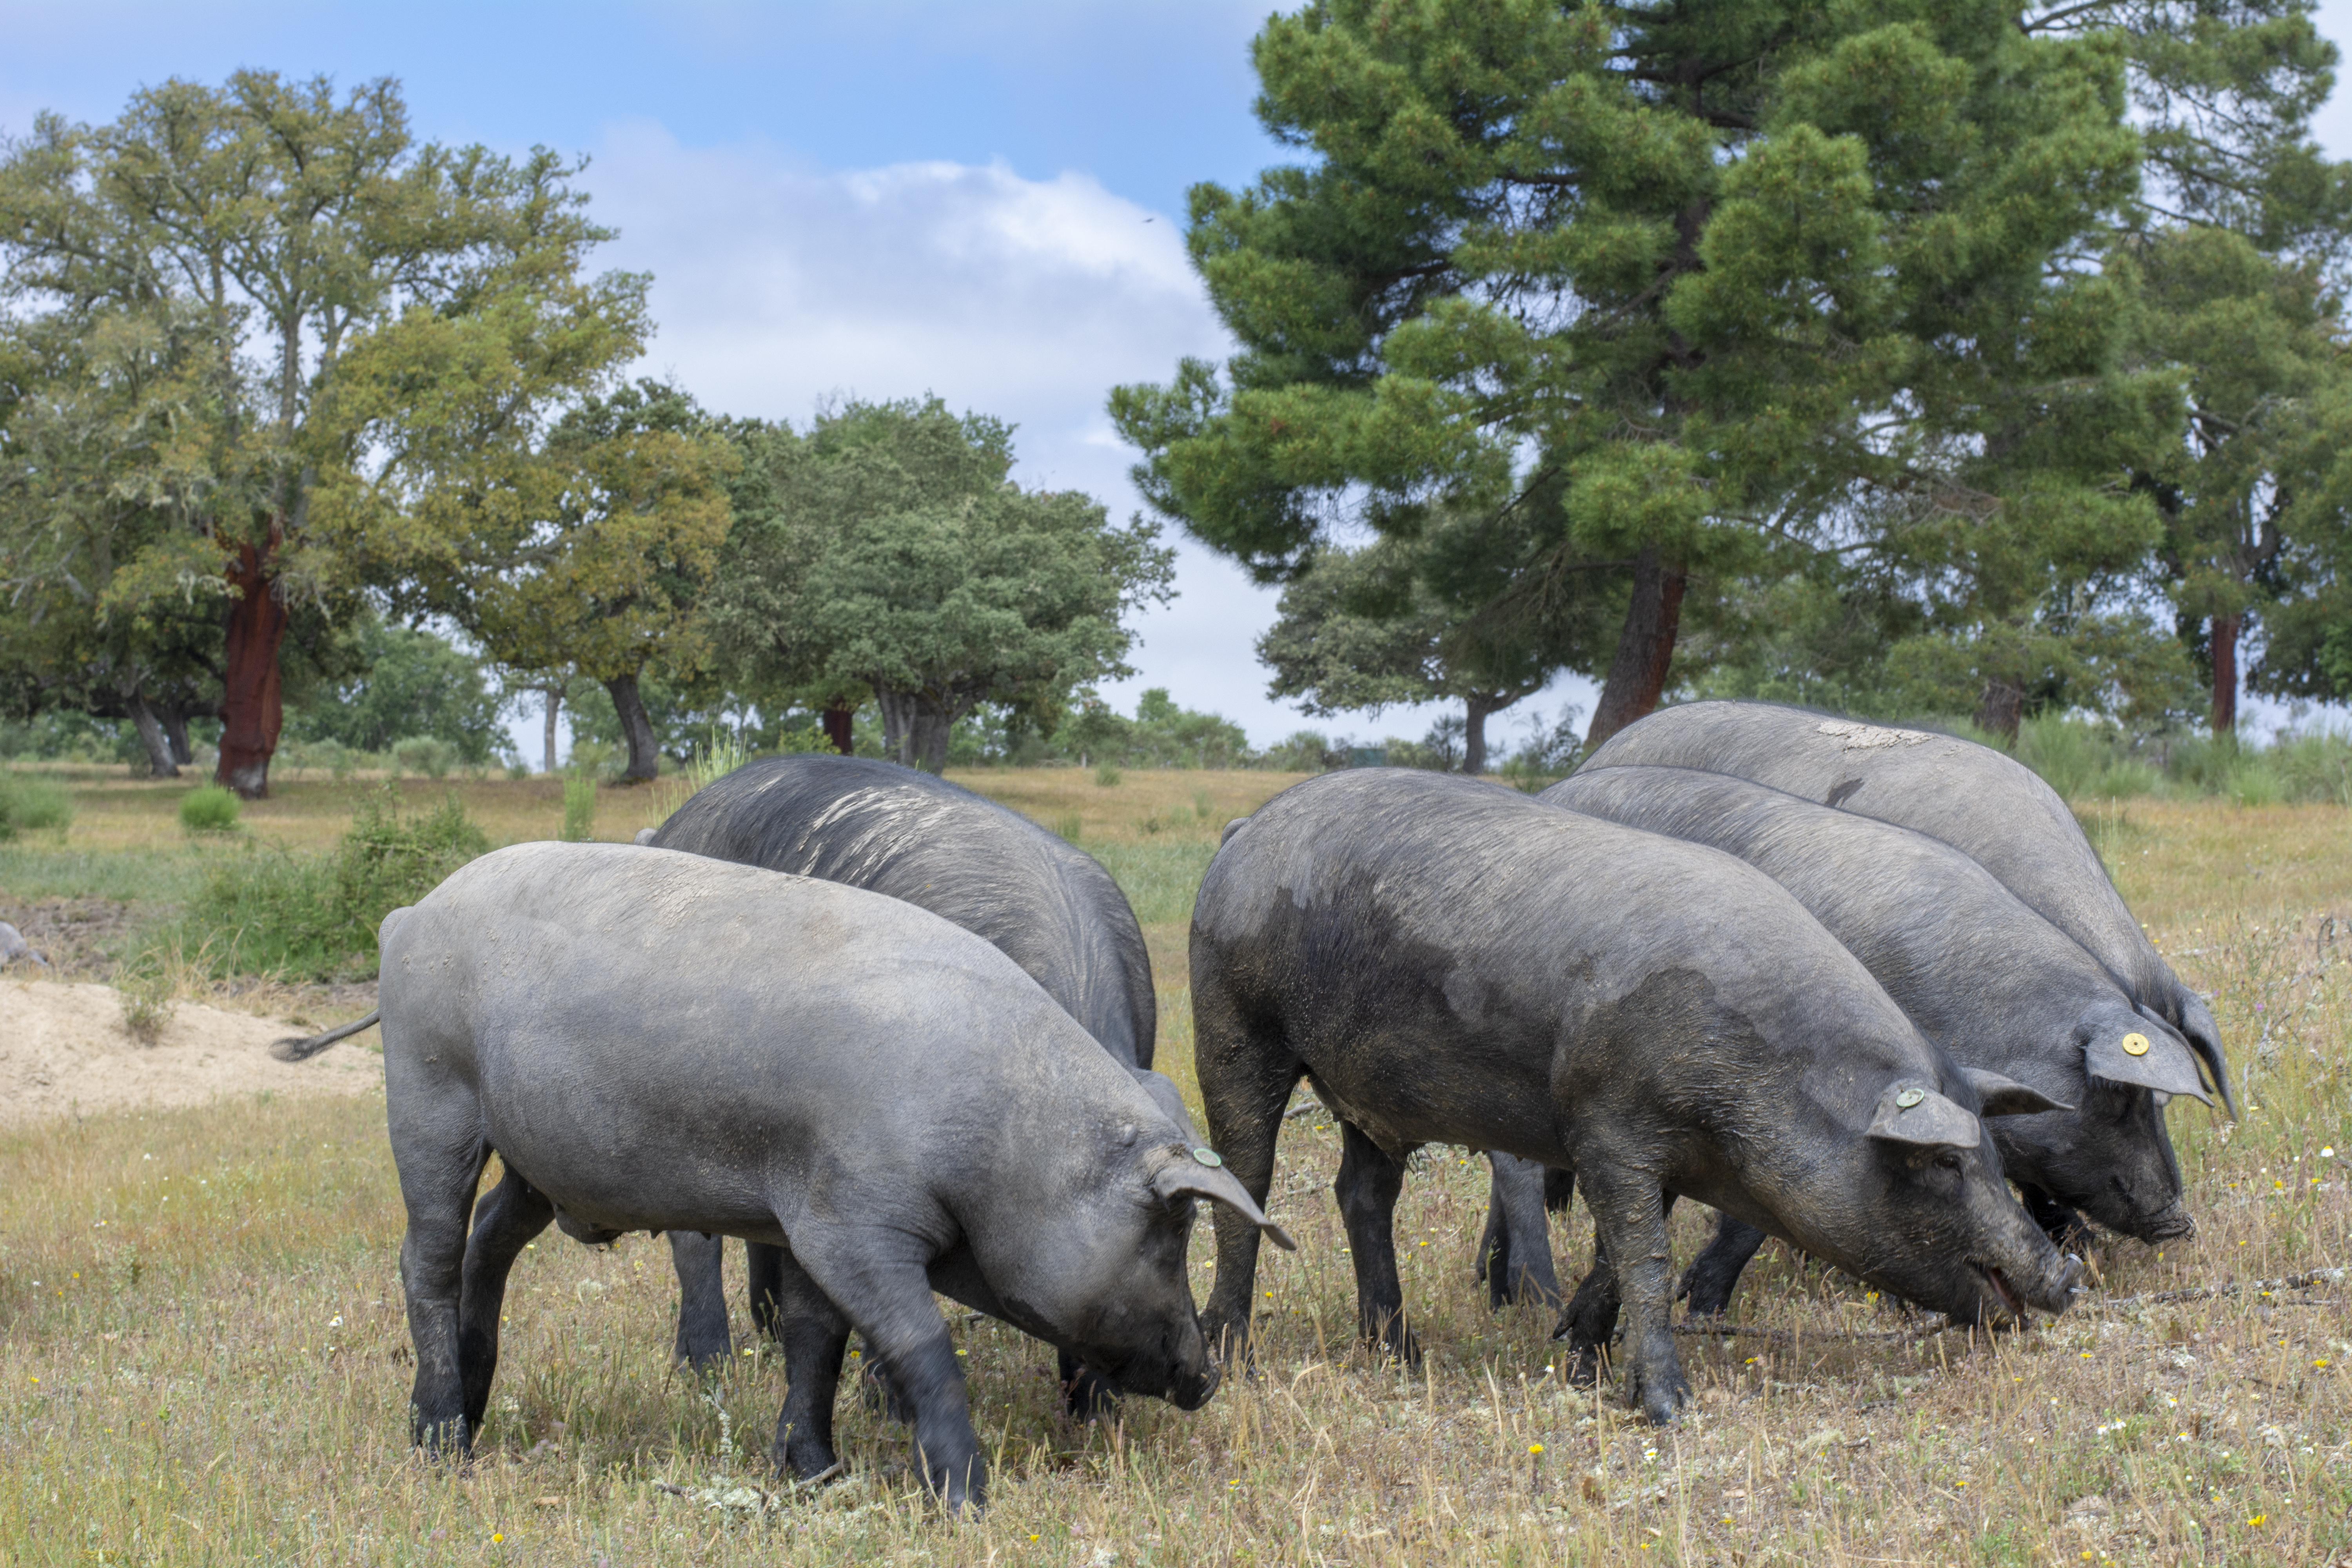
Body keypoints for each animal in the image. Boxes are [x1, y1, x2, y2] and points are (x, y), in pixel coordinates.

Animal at [381, 842, 1289, 1511]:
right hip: (430, 1096)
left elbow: (815, 1340)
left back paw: (474, 1407)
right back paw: (441, 1442)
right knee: (427, 1256)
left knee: (490, 1242)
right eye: (1171, 1231)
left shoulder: (803, 1218)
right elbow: (919, 1342)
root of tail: (409, 913)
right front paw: (968, 1503)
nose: (1208, 1375)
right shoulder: (850, 1219)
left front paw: (815, 1473)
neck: (1001, 1139)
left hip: (536, 1160)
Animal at [645, 755, 1160, 1409]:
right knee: (692, 1239)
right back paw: (707, 1367)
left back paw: (769, 1332)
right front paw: (883, 1403)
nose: (1106, 1402)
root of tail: (672, 825)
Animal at [1189, 770, 2076, 1422]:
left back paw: (1400, 1354)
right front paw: (1667, 1407)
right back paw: (1234, 1355)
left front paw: (1577, 1357)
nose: (2066, 1275)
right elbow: (1647, 1254)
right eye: (1942, 1163)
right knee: (1247, 1177)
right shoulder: (1607, 1123)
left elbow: (1617, 1257)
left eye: (1993, 1153)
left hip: (1367, 1089)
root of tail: (1241, 833)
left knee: (1362, 1193)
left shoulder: (1664, 1156)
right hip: (1233, 1021)